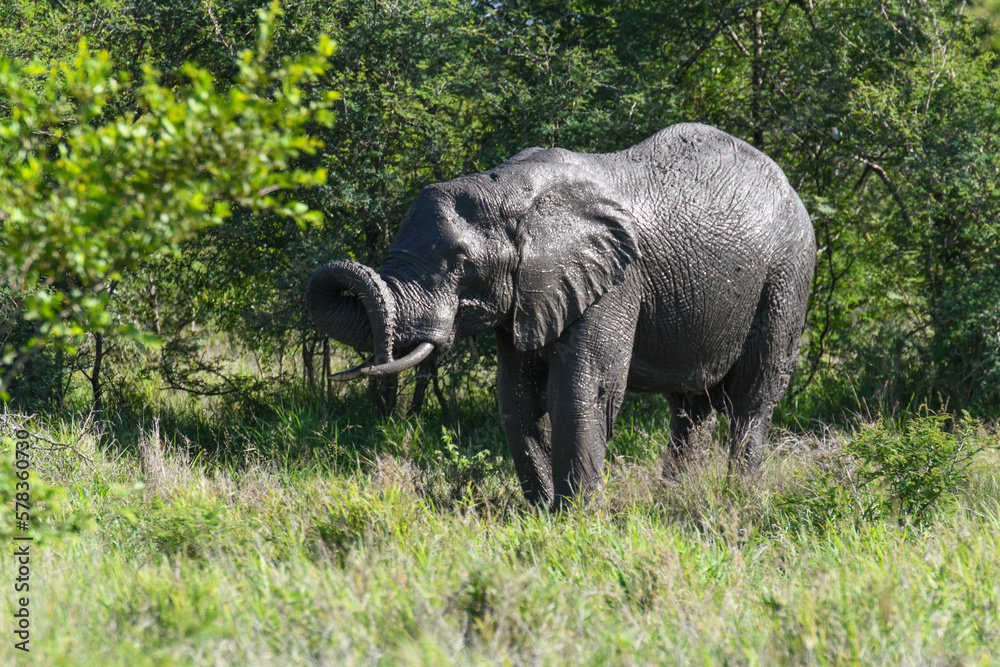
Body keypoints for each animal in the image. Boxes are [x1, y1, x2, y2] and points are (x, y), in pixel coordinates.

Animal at [308, 122, 816, 508]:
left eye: (459, 262)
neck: (510, 188)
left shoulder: (616, 281)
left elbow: (581, 390)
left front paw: (576, 520)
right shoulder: (526, 295)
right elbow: (516, 399)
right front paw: (540, 514)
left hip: (786, 276)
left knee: (752, 399)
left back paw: (739, 500)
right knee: (691, 408)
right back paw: (673, 500)